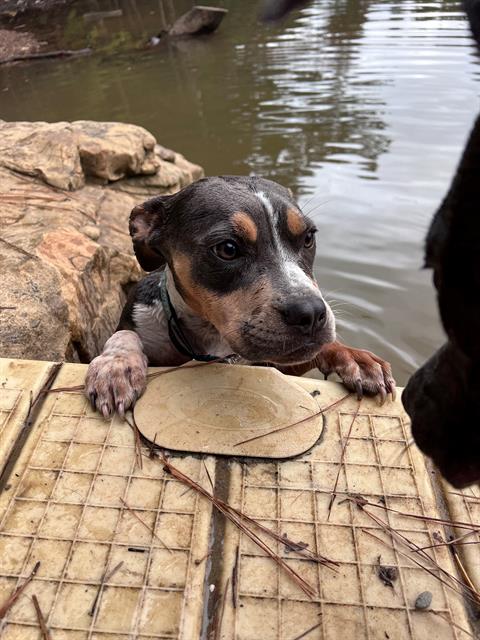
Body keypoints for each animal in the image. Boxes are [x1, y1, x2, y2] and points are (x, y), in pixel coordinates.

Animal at [84, 174, 396, 416]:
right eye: (228, 249)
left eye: (308, 237)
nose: (310, 313)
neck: (210, 338)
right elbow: (124, 334)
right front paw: (116, 366)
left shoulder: (283, 364)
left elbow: (324, 347)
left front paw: (355, 358)